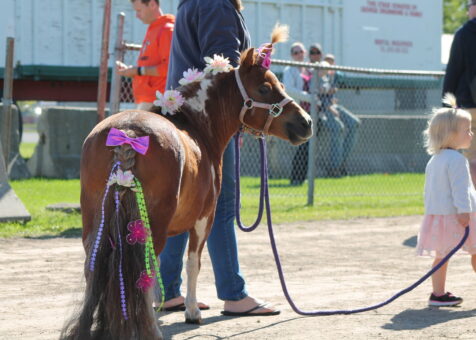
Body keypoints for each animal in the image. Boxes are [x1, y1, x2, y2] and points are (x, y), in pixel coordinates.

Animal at [60, 30, 312, 338]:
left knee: (94, 267)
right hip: (152, 224)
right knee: (145, 271)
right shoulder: (204, 219)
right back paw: (150, 328)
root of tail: (128, 132)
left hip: (95, 220)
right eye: (265, 88)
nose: (306, 122)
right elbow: (193, 263)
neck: (197, 126)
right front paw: (191, 311)